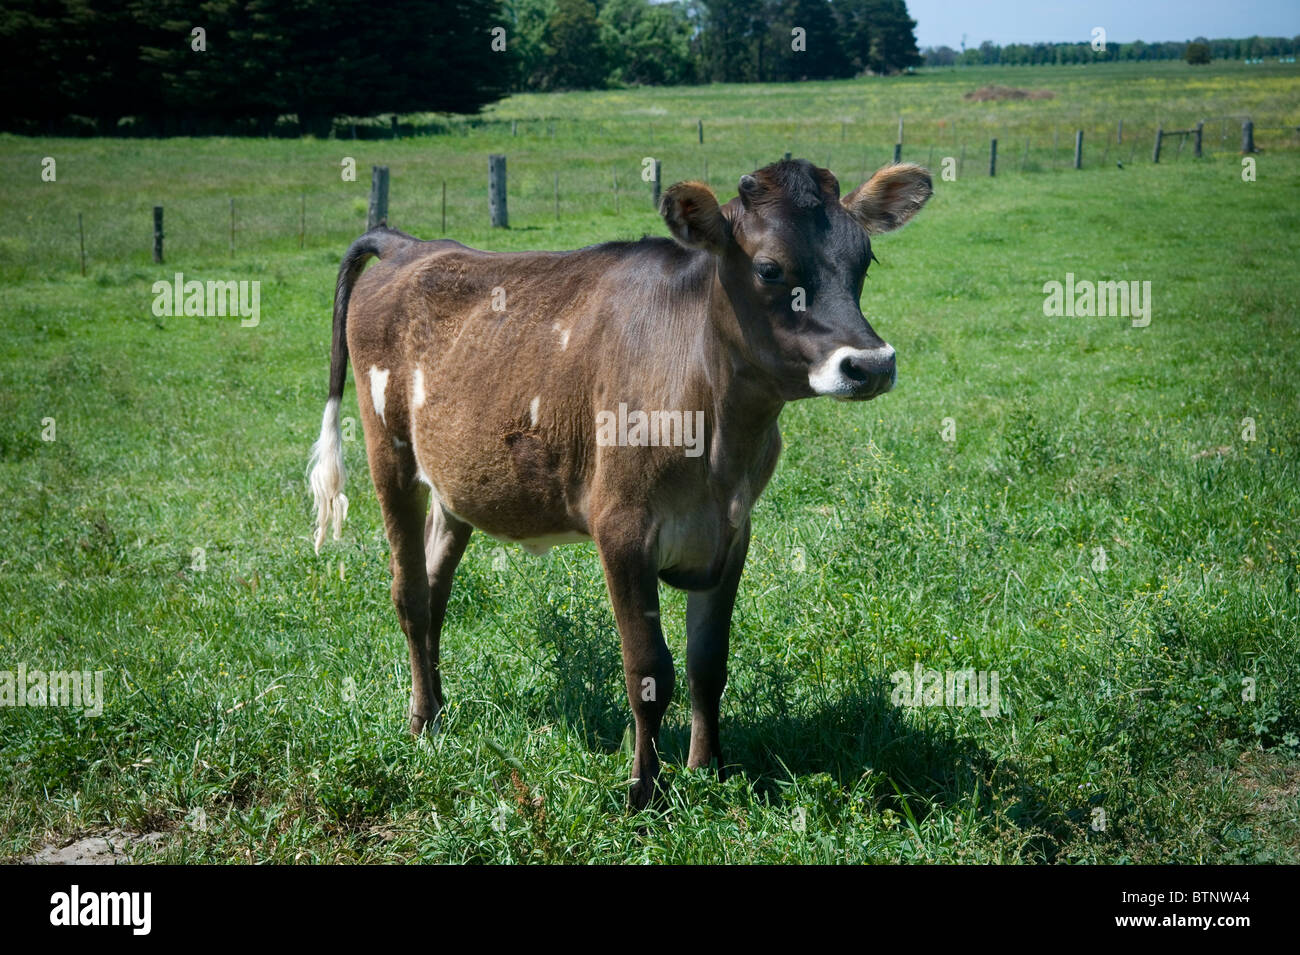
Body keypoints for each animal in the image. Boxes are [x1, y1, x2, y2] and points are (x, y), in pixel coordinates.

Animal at [308, 157, 930, 805]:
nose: (871, 364)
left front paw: (707, 770)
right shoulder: (623, 528)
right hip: (388, 450)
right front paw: (643, 792)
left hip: (455, 480)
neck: (719, 440)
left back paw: (438, 704)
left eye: (864, 259)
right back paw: (422, 720)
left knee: (435, 588)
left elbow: (708, 663)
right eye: (768, 268)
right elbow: (650, 669)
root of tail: (409, 245)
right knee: (408, 593)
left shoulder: (733, 532)